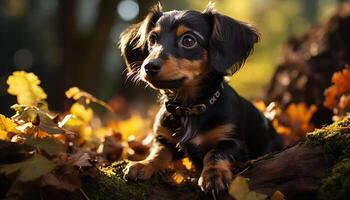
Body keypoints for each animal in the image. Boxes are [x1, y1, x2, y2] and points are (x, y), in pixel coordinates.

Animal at [119, 2, 282, 192]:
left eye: (189, 41)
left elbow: (215, 153)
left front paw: (213, 175)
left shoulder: (234, 142)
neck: (189, 109)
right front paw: (143, 165)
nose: (149, 66)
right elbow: (158, 153)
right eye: (152, 39)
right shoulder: (164, 139)